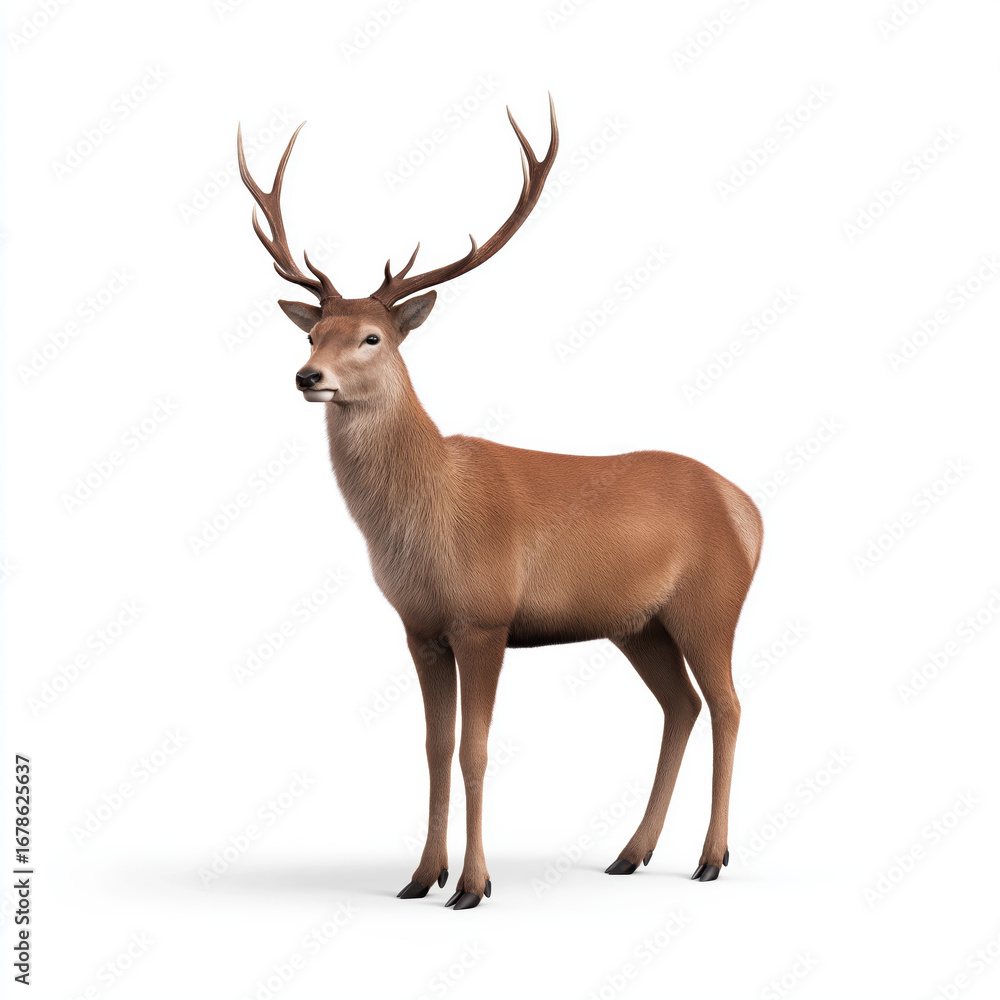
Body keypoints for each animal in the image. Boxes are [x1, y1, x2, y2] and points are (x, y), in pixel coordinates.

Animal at [236, 96, 763, 910]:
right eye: (314, 330)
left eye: (372, 337)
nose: (307, 376)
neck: (424, 523)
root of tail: (750, 510)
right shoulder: (421, 627)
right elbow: (434, 747)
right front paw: (419, 877)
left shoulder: (485, 616)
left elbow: (476, 751)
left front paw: (473, 886)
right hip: (638, 625)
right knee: (681, 705)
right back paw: (629, 853)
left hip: (711, 602)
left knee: (730, 705)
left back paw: (710, 859)